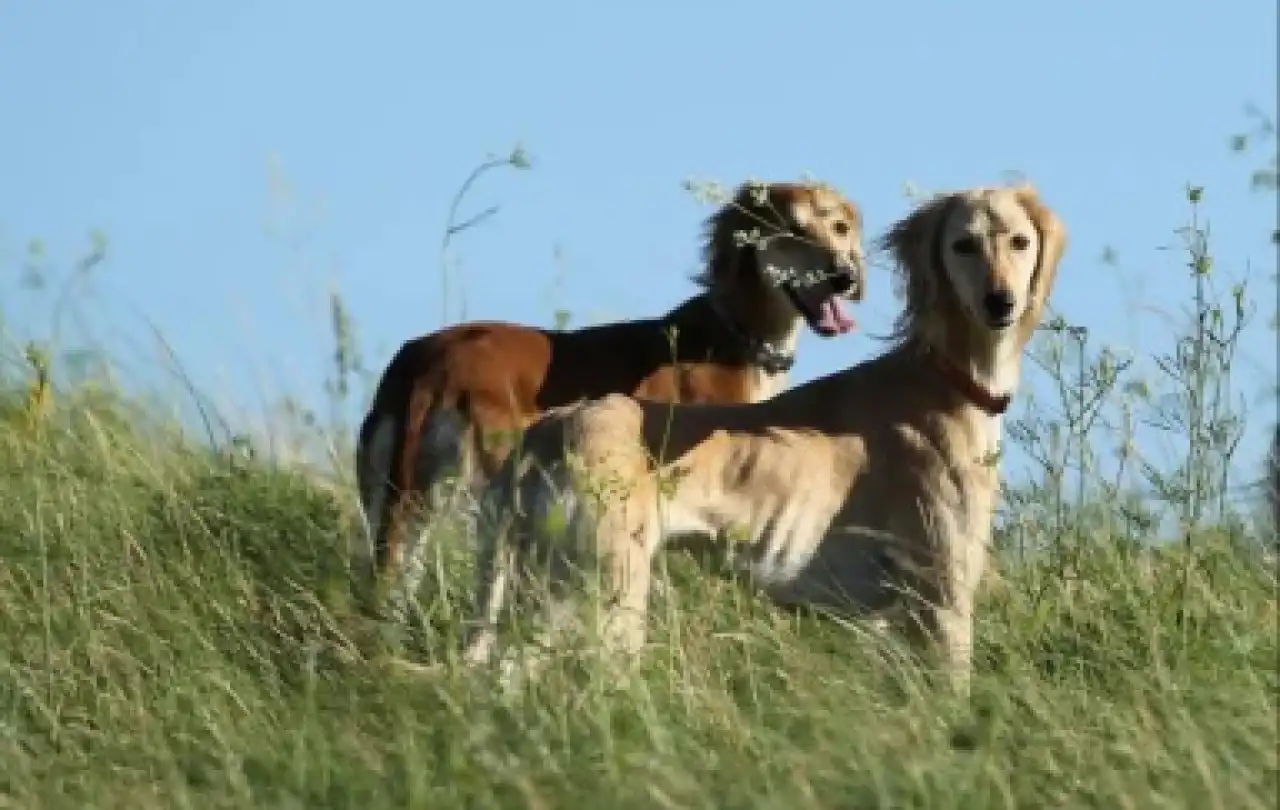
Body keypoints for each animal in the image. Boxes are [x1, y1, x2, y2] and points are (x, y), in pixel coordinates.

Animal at [465, 184, 1064, 696]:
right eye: (963, 244)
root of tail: (545, 432)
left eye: (1020, 241)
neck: (947, 376)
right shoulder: (941, 600)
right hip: (600, 598)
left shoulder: (892, 624)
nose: (1000, 302)